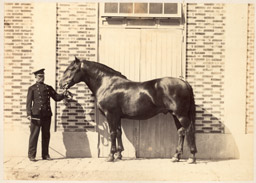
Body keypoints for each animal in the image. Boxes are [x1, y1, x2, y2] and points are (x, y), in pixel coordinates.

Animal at [60, 57, 198, 163]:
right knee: (181, 132)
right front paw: (119, 155)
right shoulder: (117, 116)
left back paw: (191, 157)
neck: (107, 84)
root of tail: (186, 83)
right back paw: (176, 157)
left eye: (71, 69)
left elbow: (112, 133)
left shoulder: (111, 115)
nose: (61, 83)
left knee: (189, 130)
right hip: (175, 115)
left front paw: (111, 156)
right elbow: (118, 132)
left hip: (181, 115)